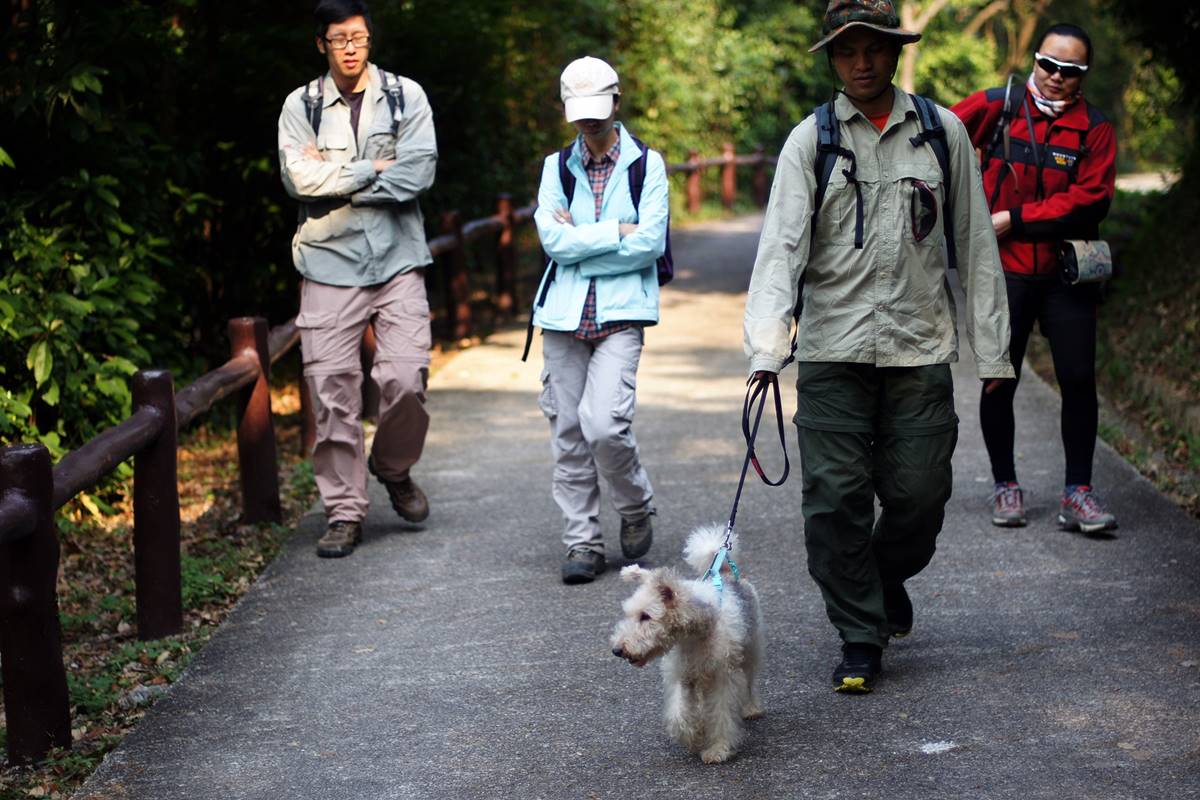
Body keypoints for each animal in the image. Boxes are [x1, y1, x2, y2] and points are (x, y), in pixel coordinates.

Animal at [609, 524, 765, 763]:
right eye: (630, 614)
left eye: (646, 616)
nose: (617, 650)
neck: (697, 631)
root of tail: (726, 572)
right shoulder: (683, 676)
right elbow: (678, 715)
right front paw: (695, 737)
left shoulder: (722, 677)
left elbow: (721, 715)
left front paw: (718, 749)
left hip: (750, 650)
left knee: (749, 682)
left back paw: (751, 708)